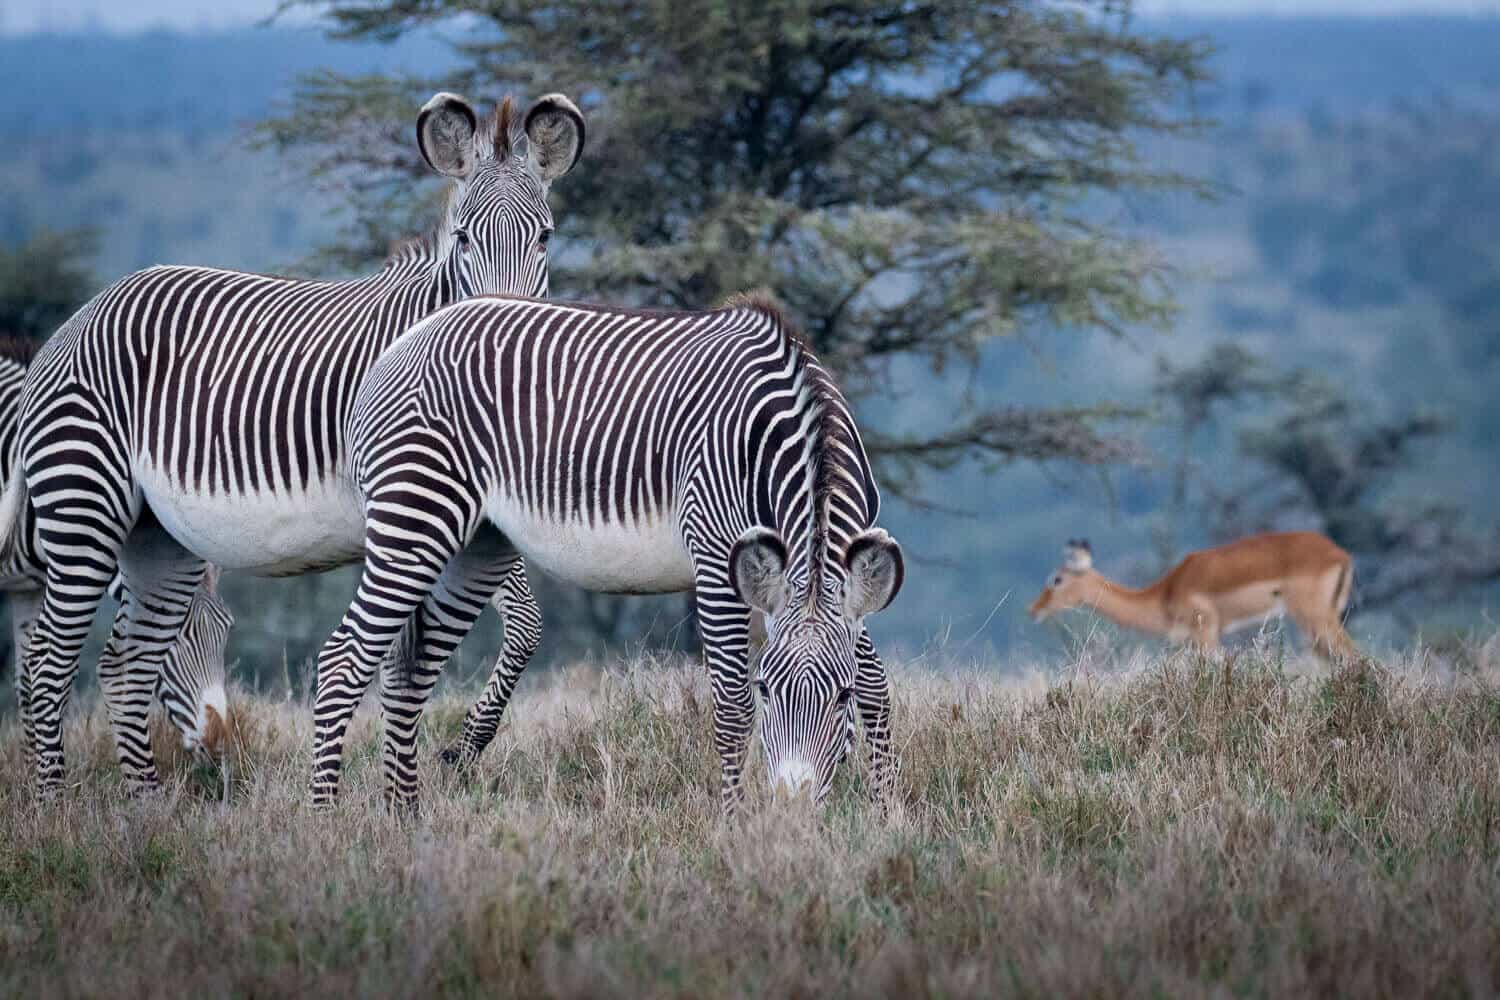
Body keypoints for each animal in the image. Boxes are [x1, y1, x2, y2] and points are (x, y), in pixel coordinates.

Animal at [0, 340, 235, 763]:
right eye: (177, 637)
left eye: (226, 629)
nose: (218, 743)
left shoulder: (28, 587)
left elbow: (24, 683)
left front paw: (29, 773)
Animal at [312, 291, 905, 811]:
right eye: (767, 688)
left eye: (841, 697)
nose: (791, 808)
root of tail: (409, 337)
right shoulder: (716, 561)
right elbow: (732, 707)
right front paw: (735, 823)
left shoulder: (843, 584)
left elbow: (878, 688)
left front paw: (885, 815)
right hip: (414, 516)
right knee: (344, 658)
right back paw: (327, 817)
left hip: (481, 543)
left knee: (408, 670)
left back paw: (405, 816)